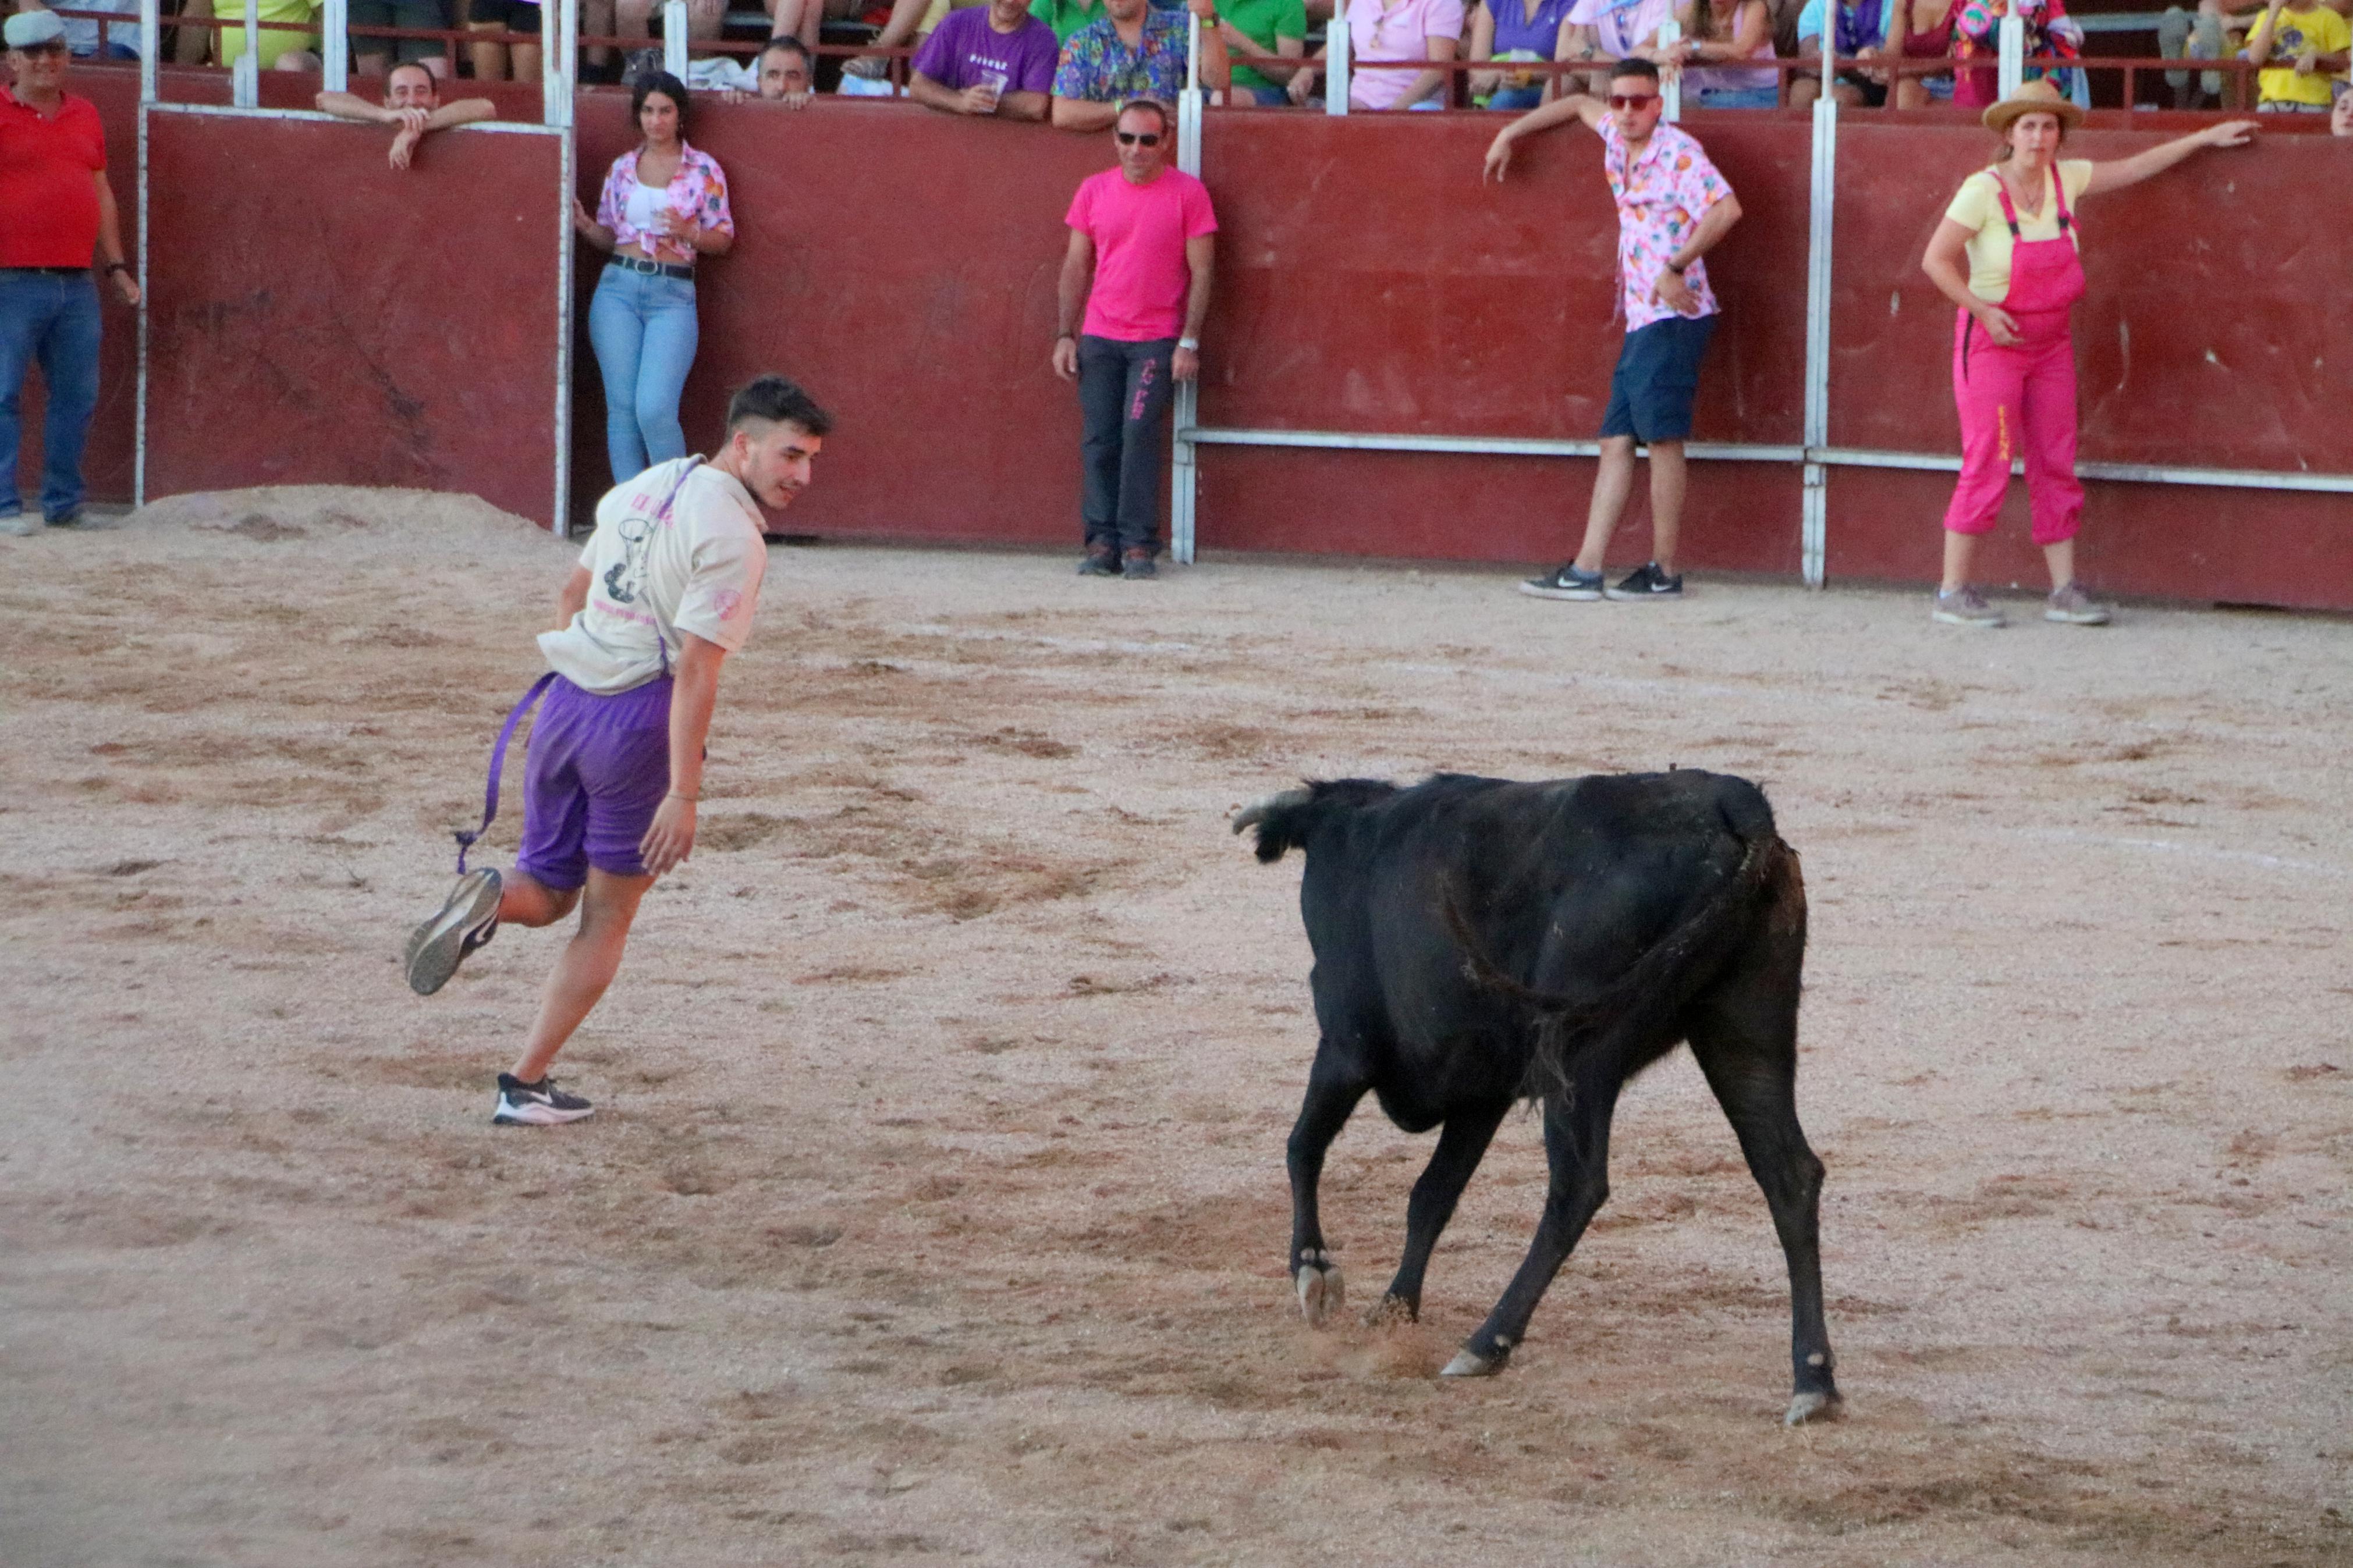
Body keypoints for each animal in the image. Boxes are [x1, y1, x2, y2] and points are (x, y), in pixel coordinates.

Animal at [1233, 766, 1835, 1429]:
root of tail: (1737, 802)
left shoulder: (1346, 1046)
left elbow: (1304, 1146)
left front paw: (1314, 1271)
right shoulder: (1482, 1093)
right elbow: (1431, 1195)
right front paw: (1393, 1310)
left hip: (1582, 1054)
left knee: (1577, 1188)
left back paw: (1485, 1343)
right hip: (1746, 1031)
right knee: (1789, 1174)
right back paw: (1813, 1380)